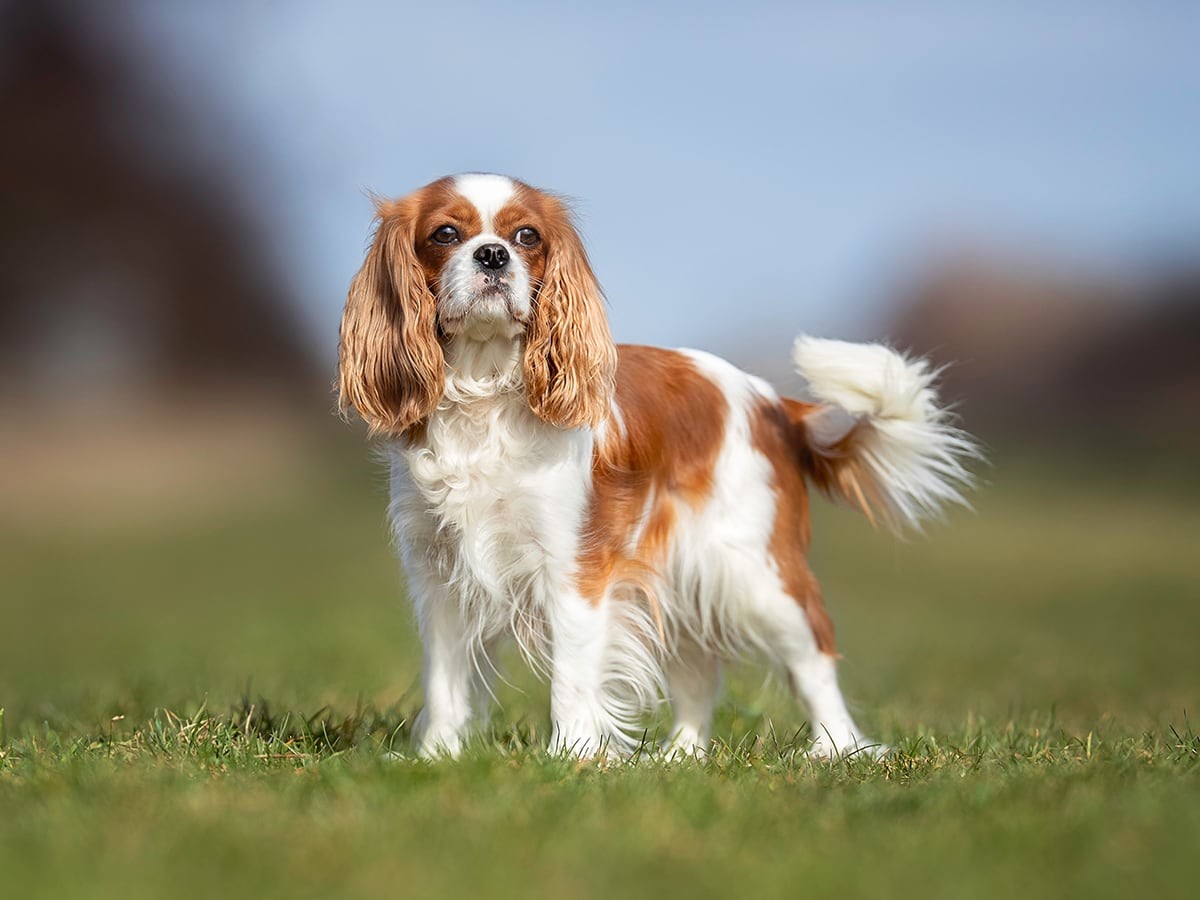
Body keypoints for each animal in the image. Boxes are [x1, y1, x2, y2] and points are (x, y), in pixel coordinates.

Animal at [336, 172, 974, 758]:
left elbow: (572, 679)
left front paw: (571, 760)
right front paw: (436, 758)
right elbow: (445, 682)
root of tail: (774, 404)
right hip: (680, 577)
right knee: (698, 673)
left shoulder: (573, 569)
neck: (486, 392)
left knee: (813, 656)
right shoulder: (439, 575)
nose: (493, 254)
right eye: (445, 234)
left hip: (756, 574)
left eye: (526, 236)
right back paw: (681, 756)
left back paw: (840, 750)